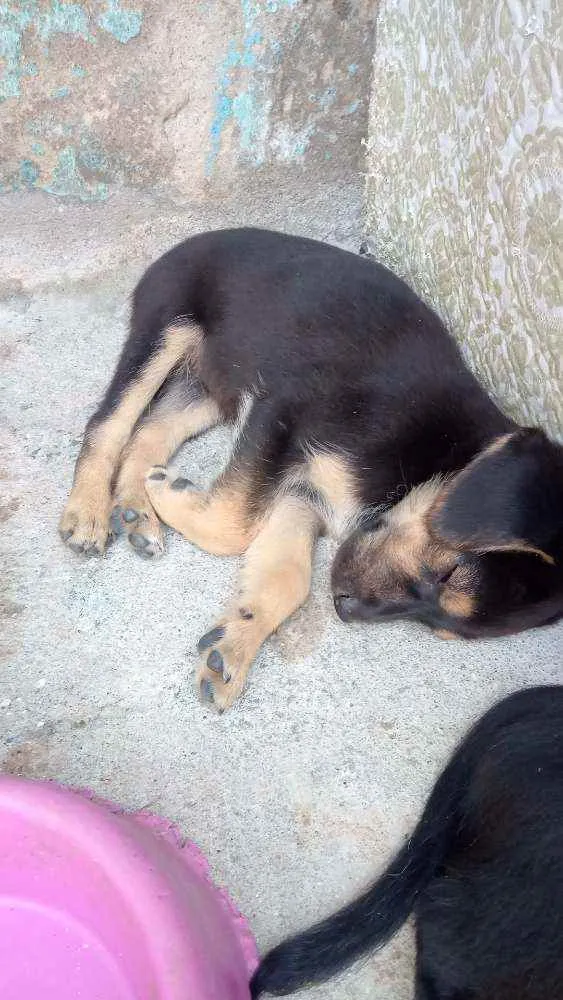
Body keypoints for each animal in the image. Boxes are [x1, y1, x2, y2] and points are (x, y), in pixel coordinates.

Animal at [58, 227, 563, 712]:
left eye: (441, 626)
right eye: (449, 574)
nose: (344, 609)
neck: (439, 454)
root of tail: (192, 240)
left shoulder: (303, 497)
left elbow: (286, 577)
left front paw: (233, 646)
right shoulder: (279, 410)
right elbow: (234, 524)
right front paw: (167, 492)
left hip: (208, 388)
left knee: (150, 432)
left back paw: (135, 511)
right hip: (167, 329)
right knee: (110, 422)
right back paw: (89, 513)